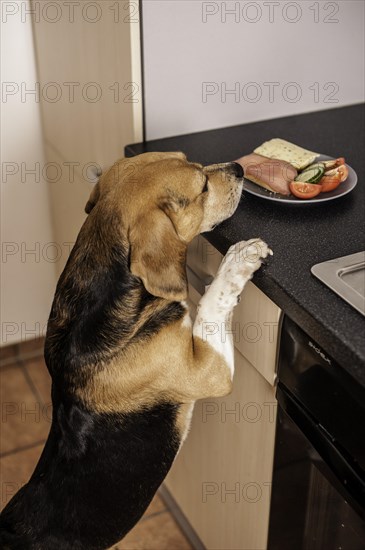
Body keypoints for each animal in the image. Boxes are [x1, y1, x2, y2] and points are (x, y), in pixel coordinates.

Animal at [0, 152, 270, 550]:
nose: (239, 168)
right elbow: (211, 300)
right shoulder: (209, 368)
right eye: (202, 187)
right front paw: (239, 259)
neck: (102, 299)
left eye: (188, 158)